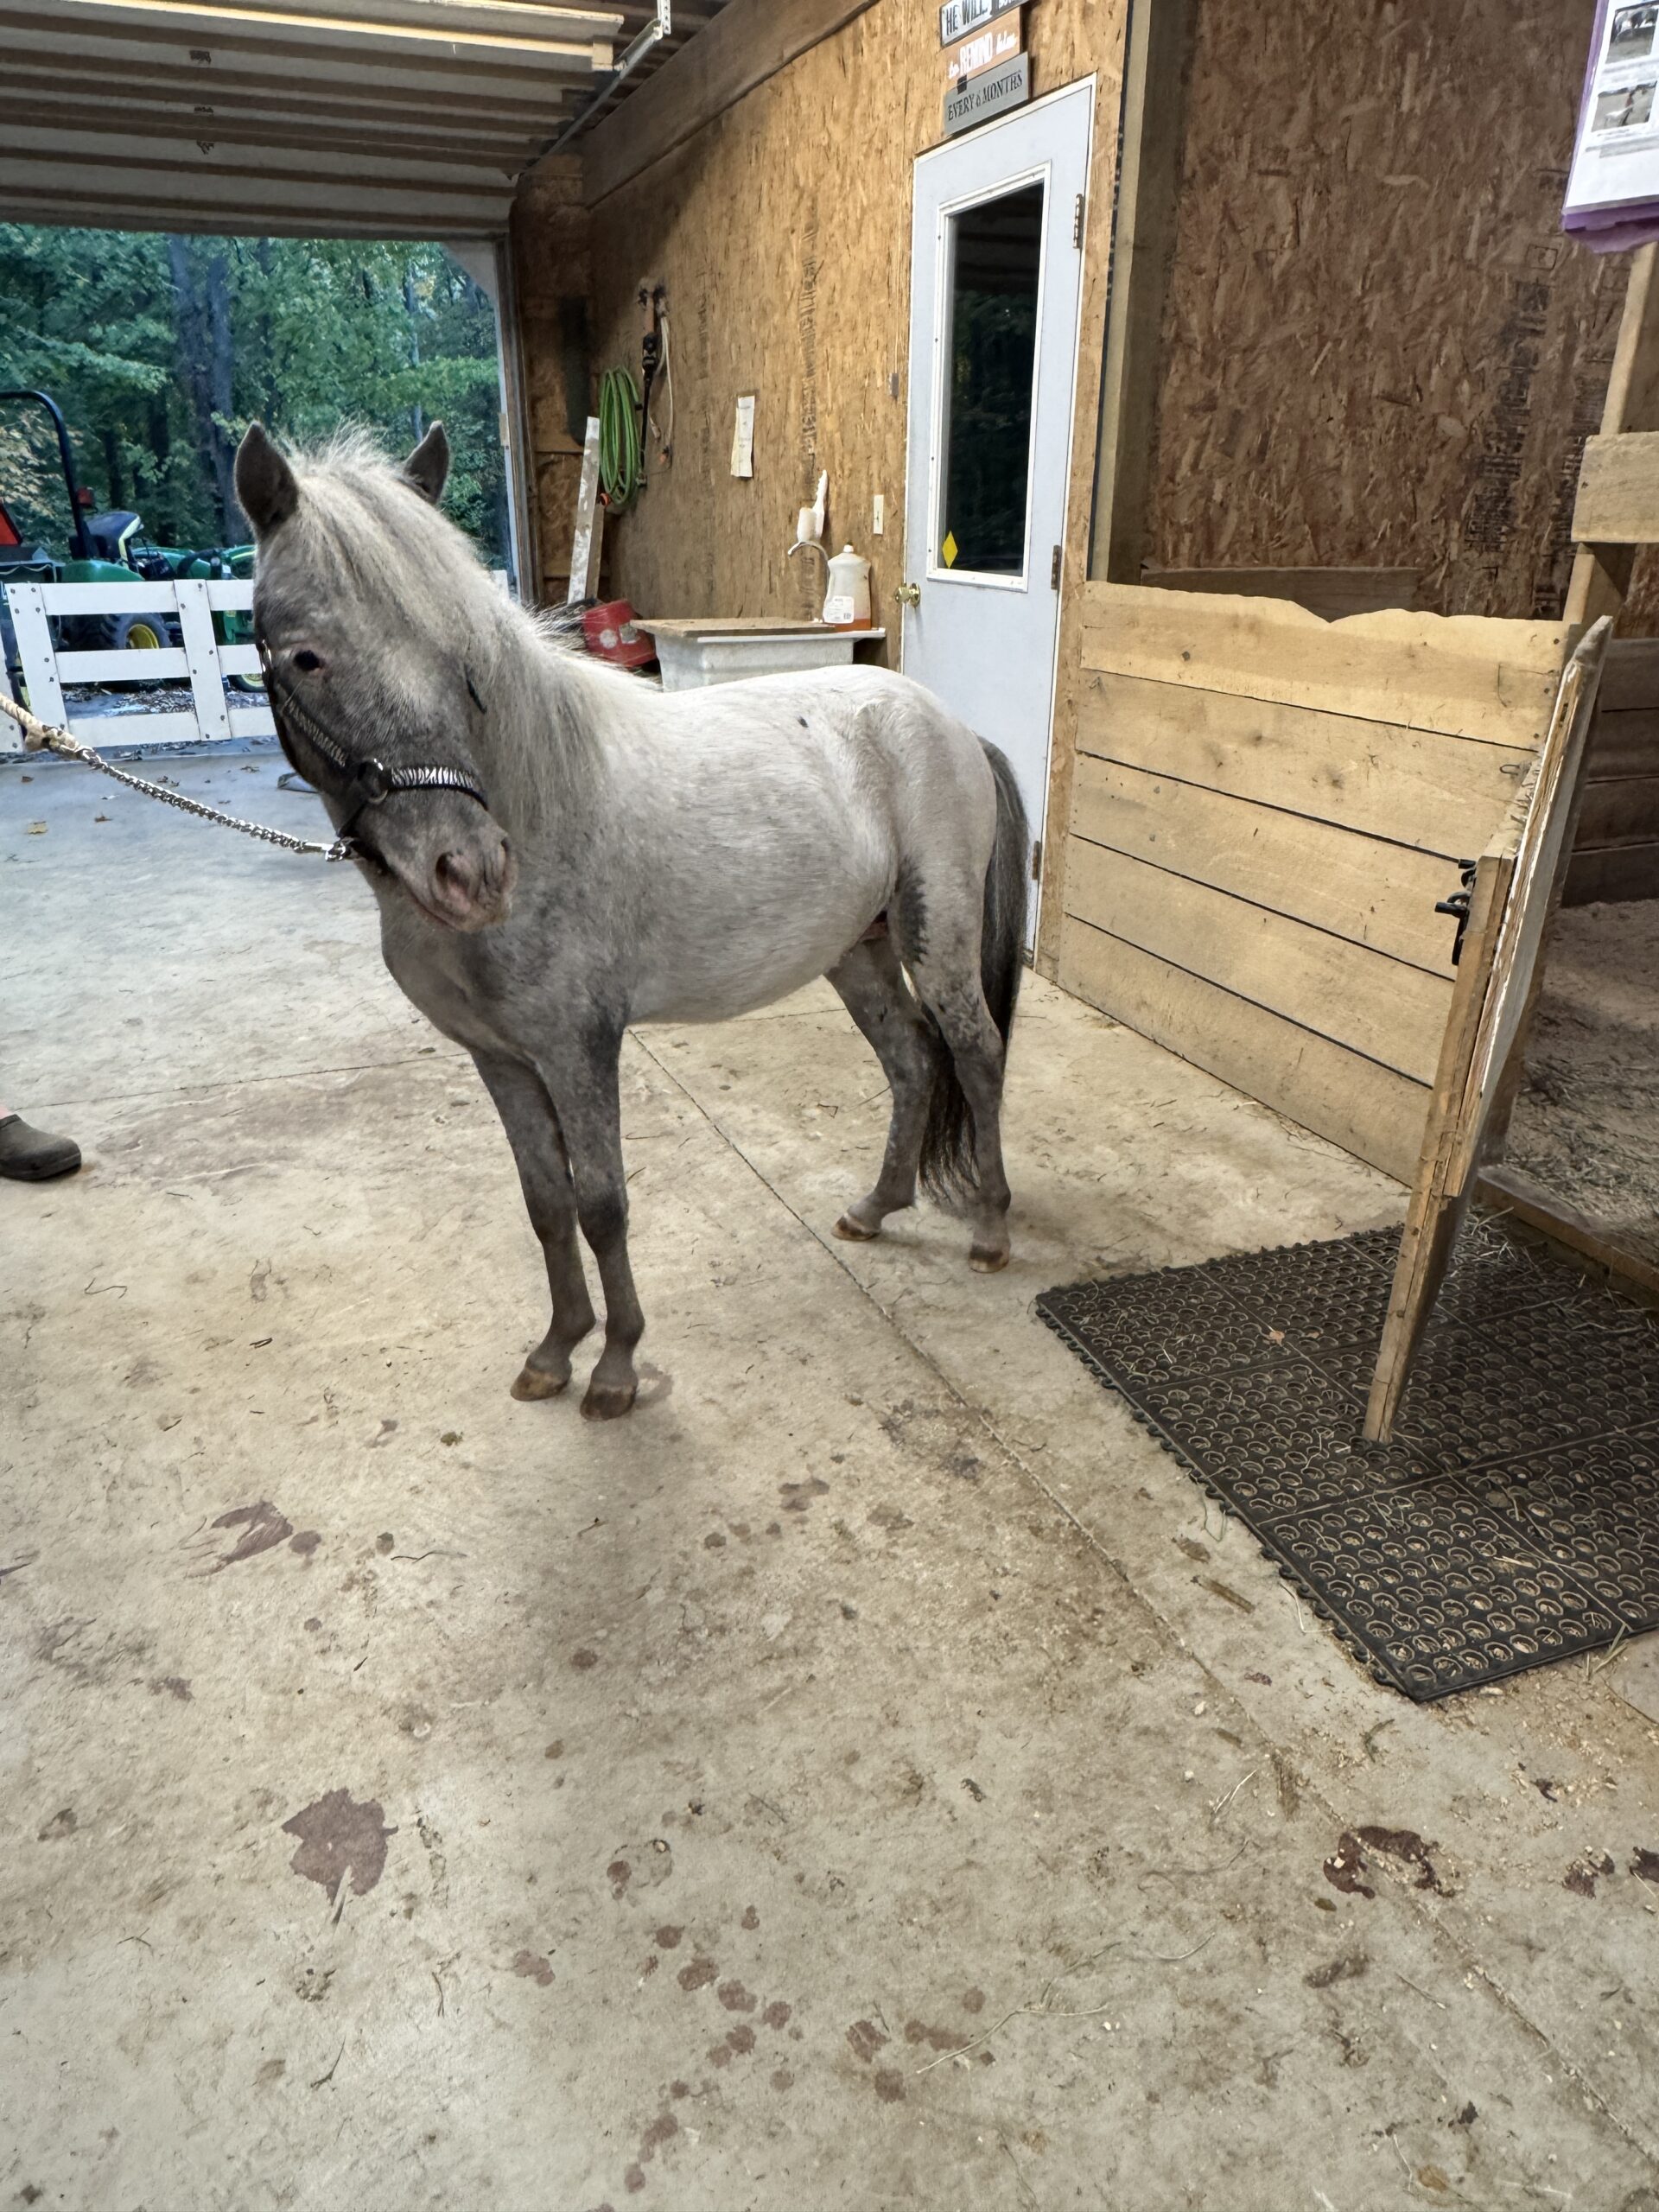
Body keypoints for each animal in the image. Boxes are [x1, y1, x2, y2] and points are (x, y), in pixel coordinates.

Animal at [234, 421, 1028, 1420]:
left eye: (461, 659)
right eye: (306, 657)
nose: (469, 872)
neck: (539, 805)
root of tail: (950, 725)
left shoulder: (580, 1048)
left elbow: (603, 1203)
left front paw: (614, 1367)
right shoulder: (501, 1059)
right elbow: (545, 1203)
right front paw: (554, 1350)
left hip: (937, 936)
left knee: (976, 1052)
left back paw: (992, 1230)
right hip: (859, 952)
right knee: (913, 1060)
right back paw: (876, 1208)